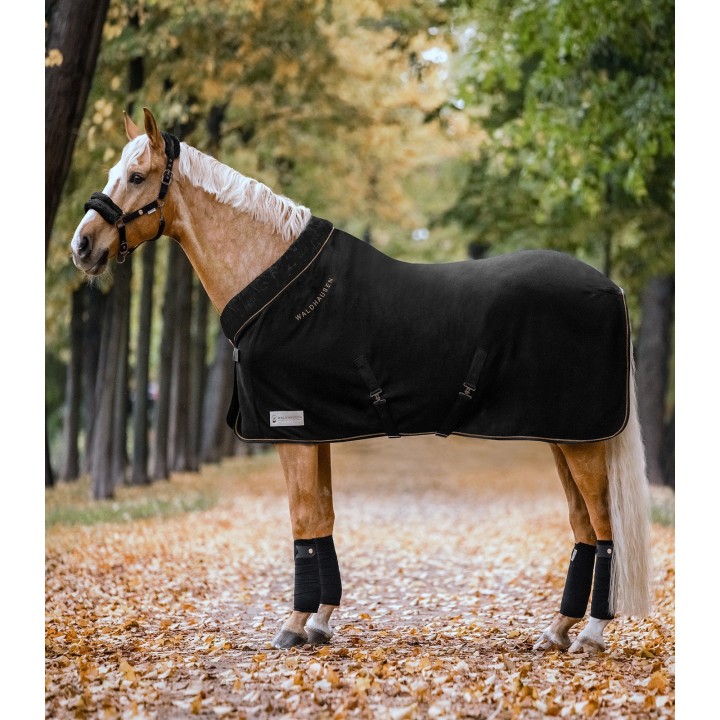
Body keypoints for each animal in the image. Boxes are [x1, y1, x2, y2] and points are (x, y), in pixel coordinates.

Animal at [70, 108, 652, 654]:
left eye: (138, 175)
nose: (82, 246)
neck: (277, 285)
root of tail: (612, 288)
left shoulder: (291, 431)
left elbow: (304, 522)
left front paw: (293, 625)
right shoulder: (314, 430)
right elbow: (323, 518)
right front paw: (321, 622)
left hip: (582, 442)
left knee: (604, 527)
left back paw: (592, 633)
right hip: (565, 436)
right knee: (582, 527)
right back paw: (557, 631)